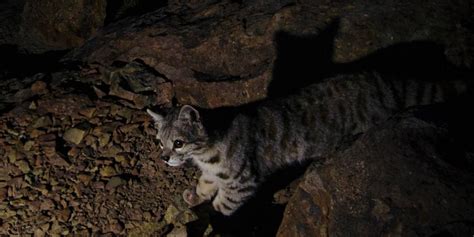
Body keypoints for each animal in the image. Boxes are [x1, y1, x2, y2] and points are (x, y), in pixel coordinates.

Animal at [146, 72, 468, 217]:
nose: (163, 158)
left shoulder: (242, 181)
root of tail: (380, 81)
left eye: (178, 143)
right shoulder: (215, 174)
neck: (207, 152)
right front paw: (195, 195)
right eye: (160, 142)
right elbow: (206, 185)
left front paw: (212, 214)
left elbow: (224, 204)